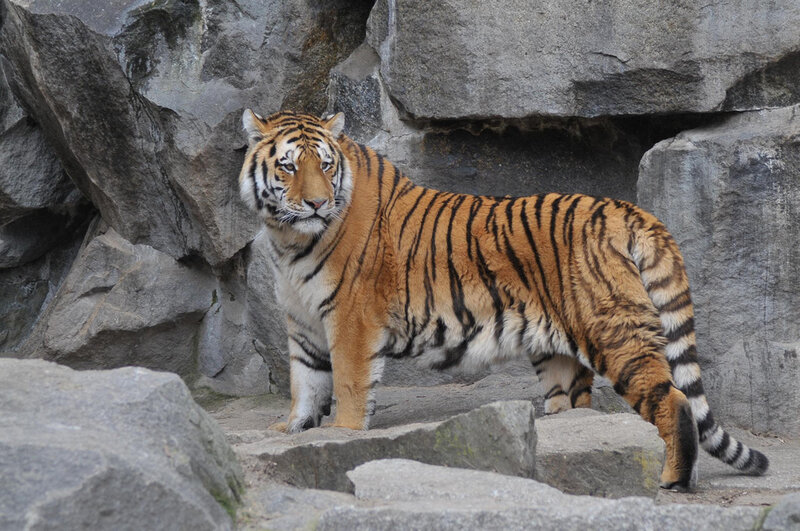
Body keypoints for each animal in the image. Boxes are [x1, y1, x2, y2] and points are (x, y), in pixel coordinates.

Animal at [238, 109, 769, 491]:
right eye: (289, 165)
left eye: (325, 165)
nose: (316, 203)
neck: (289, 239)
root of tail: (626, 209)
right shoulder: (304, 324)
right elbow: (305, 384)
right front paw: (291, 432)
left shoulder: (351, 320)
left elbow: (347, 387)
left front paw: (343, 436)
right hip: (559, 354)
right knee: (580, 407)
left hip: (616, 335)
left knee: (675, 401)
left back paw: (674, 481)